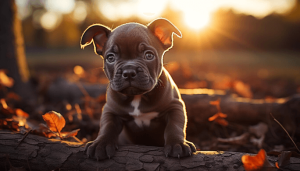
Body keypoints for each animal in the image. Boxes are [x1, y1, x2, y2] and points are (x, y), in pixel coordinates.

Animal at [81, 18, 196, 160]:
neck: (138, 96)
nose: (129, 71)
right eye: (110, 58)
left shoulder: (175, 106)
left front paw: (177, 144)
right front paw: (100, 144)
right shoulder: (111, 110)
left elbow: (174, 126)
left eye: (149, 56)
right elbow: (107, 126)